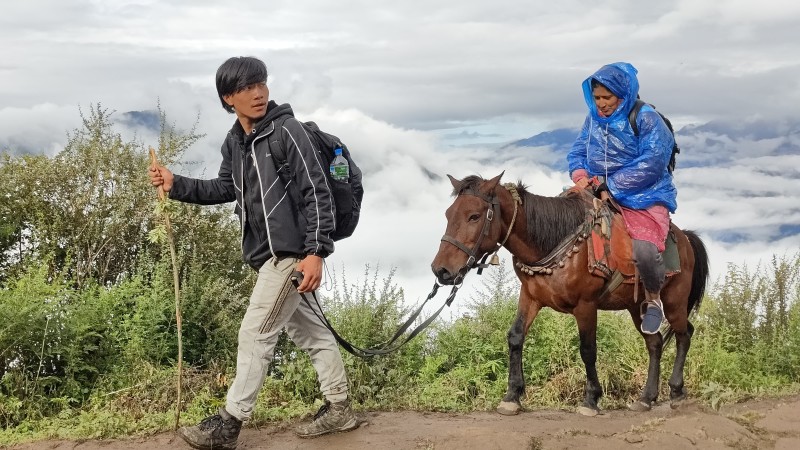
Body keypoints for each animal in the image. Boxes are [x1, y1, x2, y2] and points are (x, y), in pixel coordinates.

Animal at [434, 171, 708, 414]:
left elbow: (587, 349)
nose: (441, 270)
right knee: (655, 342)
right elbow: (515, 337)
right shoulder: (530, 297)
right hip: (636, 307)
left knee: (684, 334)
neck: (552, 240)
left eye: (474, 216)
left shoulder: (585, 305)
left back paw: (676, 391)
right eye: (447, 214)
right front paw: (512, 396)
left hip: (674, 300)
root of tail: (685, 237)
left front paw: (591, 399)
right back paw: (646, 397)